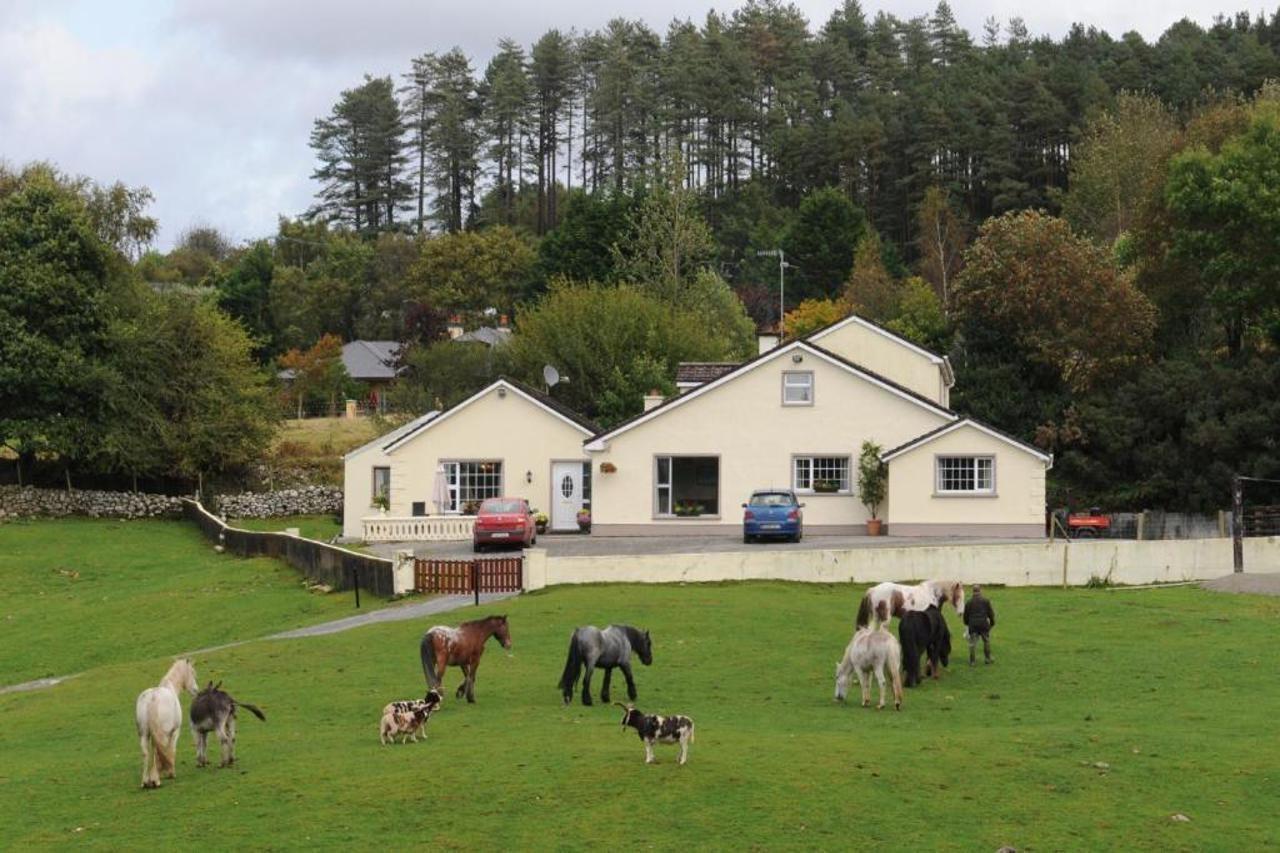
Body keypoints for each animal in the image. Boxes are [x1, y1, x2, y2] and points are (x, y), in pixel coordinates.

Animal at [135, 653, 197, 788]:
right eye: (192, 672)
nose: (196, 690)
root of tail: (152, 698)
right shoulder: (175, 732)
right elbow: (171, 749)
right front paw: (170, 772)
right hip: (162, 733)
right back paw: (156, 780)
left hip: (144, 734)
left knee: (146, 753)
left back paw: (145, 781)